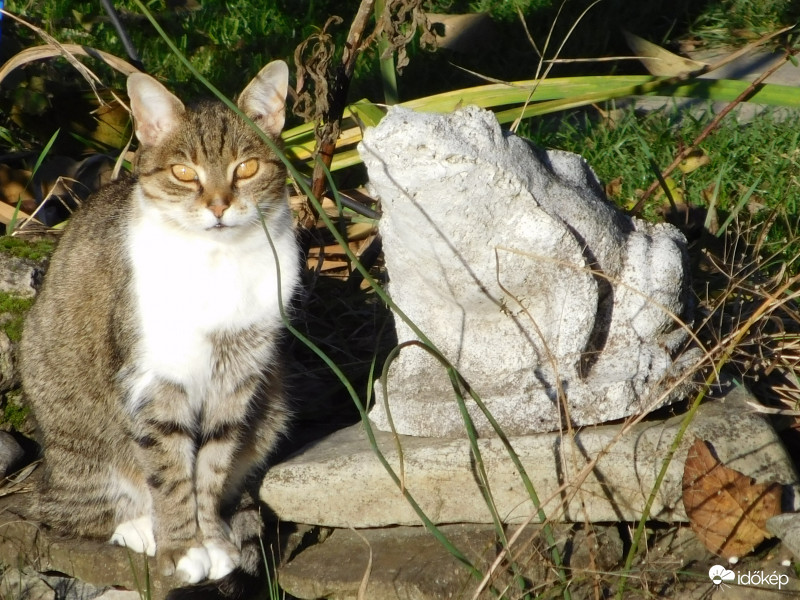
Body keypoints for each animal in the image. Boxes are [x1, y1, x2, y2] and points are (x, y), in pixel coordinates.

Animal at [19, 58, 300, 592]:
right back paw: (136, 525)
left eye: (246, 167)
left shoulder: (238, 375)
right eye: (184, 173)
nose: (218, 205)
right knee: (70, 508)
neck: (217, 262)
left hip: (272, 405)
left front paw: (211, 539)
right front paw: (181, 547)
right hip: (72, 431)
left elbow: (212, 464)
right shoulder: (154, 376)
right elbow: (169, 467)